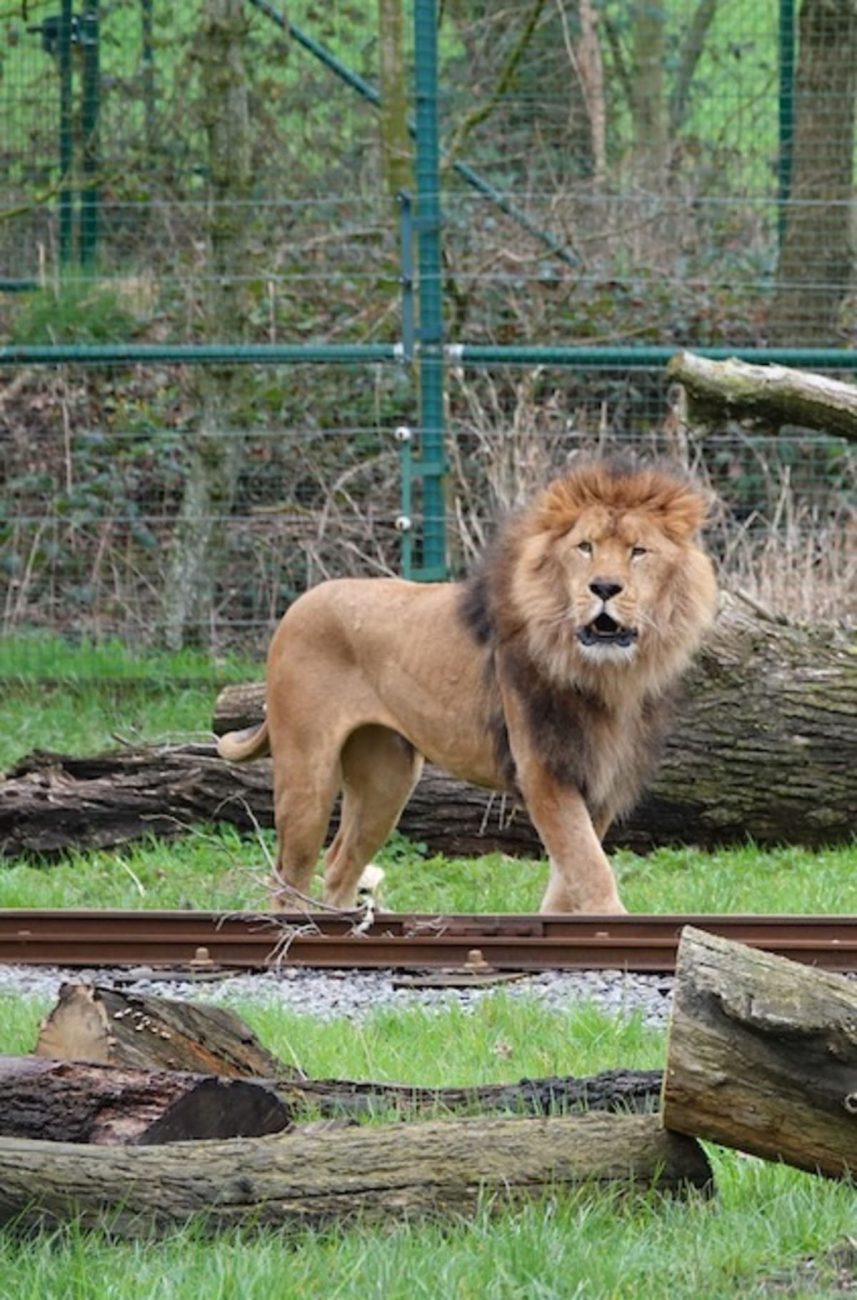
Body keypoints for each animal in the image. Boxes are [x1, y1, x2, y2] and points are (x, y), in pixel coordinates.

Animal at [217, 456, 718, 914]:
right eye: (585, 547)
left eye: (638, 551)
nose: (605, 587)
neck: (607, 674)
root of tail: (298, 605)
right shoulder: (542, 768)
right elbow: (590, 869)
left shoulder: (600, 778)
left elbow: (570, 876)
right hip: (308, 776)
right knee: (289, 876)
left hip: (387, 779)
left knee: (340, 864)